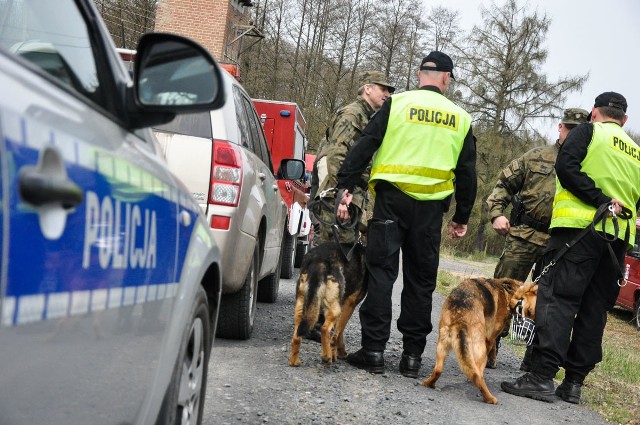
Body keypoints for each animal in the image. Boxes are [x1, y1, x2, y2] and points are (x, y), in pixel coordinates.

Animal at [288, 230, 368, 366]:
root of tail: (319, 261)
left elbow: (339, 333)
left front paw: (340, 352)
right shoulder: (349, 305)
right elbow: (337, 333)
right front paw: (337, 352)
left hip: (302, 304)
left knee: (296, 336)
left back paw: (294, 361)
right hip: (334, 309)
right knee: (325, 329)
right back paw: (327, 357)